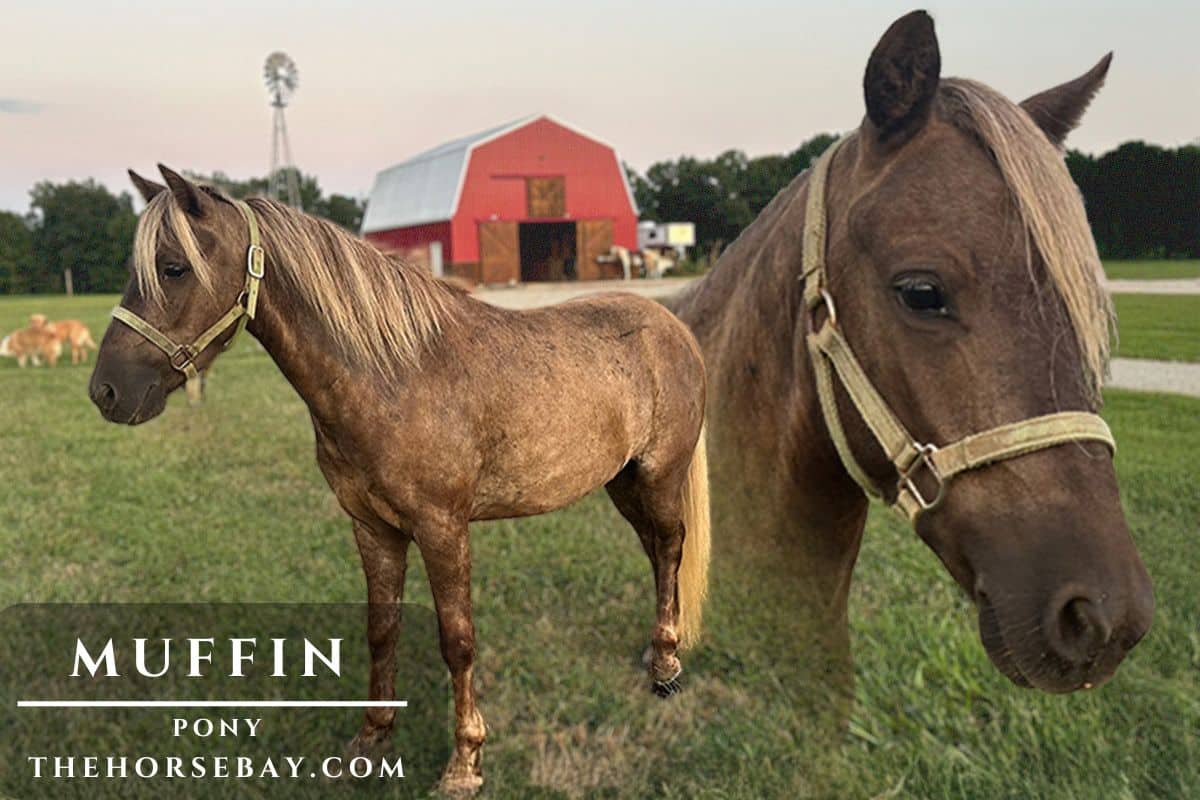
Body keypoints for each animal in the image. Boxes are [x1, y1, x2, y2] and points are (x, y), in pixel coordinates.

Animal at [88, 168, 711, 794]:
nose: (106, 392)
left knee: (670, 547)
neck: (393, 374)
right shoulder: (372, 527)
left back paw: (666, 667)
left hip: (659, 477)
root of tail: (673, 327)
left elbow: (457, 642)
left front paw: (464, 764)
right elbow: (381, 628)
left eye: (173, 267)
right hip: (623, 483)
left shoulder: (443, 528)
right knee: (656, 553)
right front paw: (371, 739)